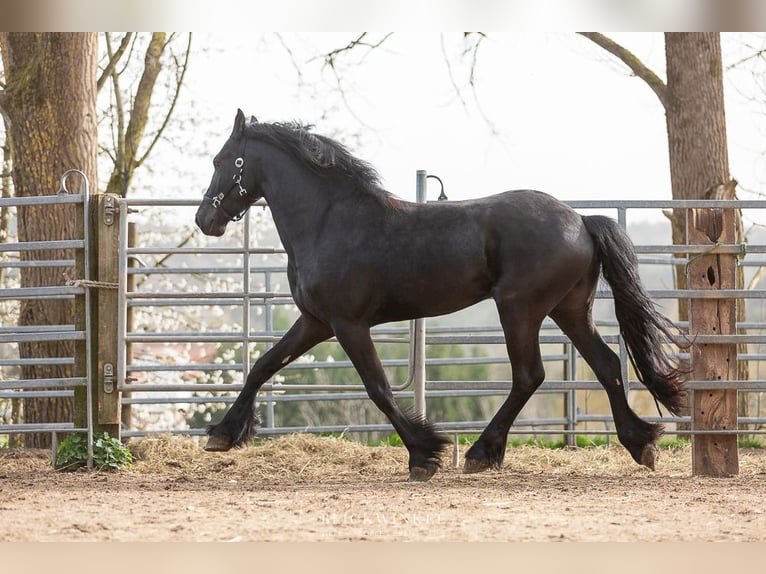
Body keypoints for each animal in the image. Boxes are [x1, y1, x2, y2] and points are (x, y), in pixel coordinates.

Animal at [195, 110, 688, 484]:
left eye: (223, 159)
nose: (204, 219)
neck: (329, 222)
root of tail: (581, 221)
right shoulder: (316, 322)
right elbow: (262, 366)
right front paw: (222, 434)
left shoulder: (348, 324)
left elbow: (378, 388)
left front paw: (424, 455)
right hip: (568, 309)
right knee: (605, 364)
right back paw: (640, 443)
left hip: (520, 308)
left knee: (529, 375)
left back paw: (481, 453)